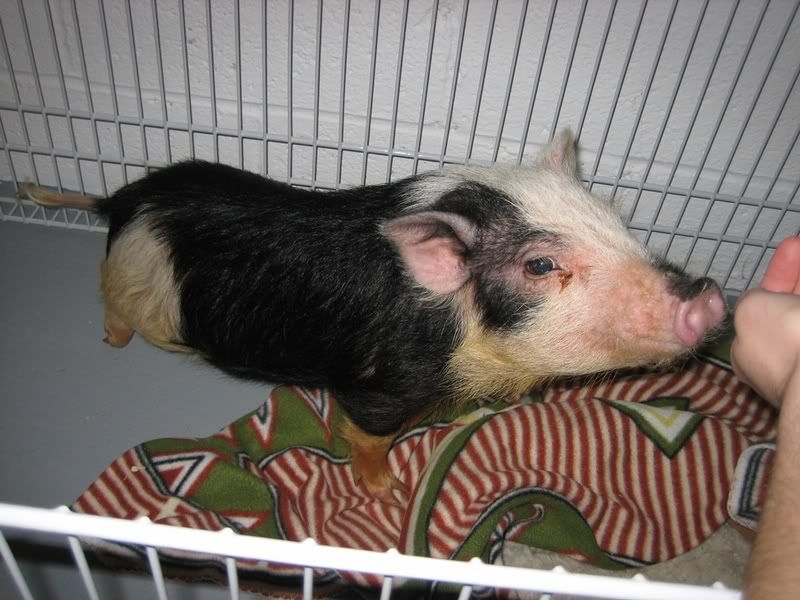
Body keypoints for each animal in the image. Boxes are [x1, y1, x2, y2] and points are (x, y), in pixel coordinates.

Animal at [21, 129, 726, 503]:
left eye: (617, 222)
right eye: (540, 265)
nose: (710, 295)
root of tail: (121, 201)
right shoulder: (384, 383)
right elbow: (367, 434)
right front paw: (387, 490)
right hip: (134, 288)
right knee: (114, 310)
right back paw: (113, 343)